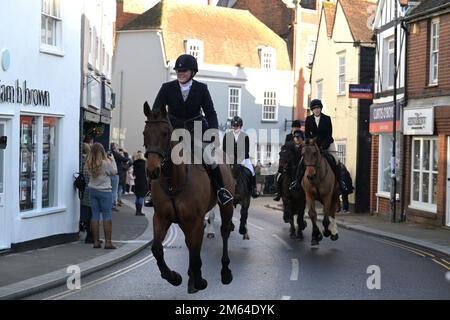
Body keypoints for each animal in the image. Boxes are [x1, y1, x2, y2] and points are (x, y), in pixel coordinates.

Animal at [143, 101, 236, 294]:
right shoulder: (161, 217)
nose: (152, 170)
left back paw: (225, 271)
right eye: (144, 133)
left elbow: (195, 255)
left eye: (165, 133)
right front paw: (173, 277)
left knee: (224, 232)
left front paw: (199, 280)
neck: (173, 181)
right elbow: (157, 249)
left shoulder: (196, 220)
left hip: (226, 207)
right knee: (189, 243)